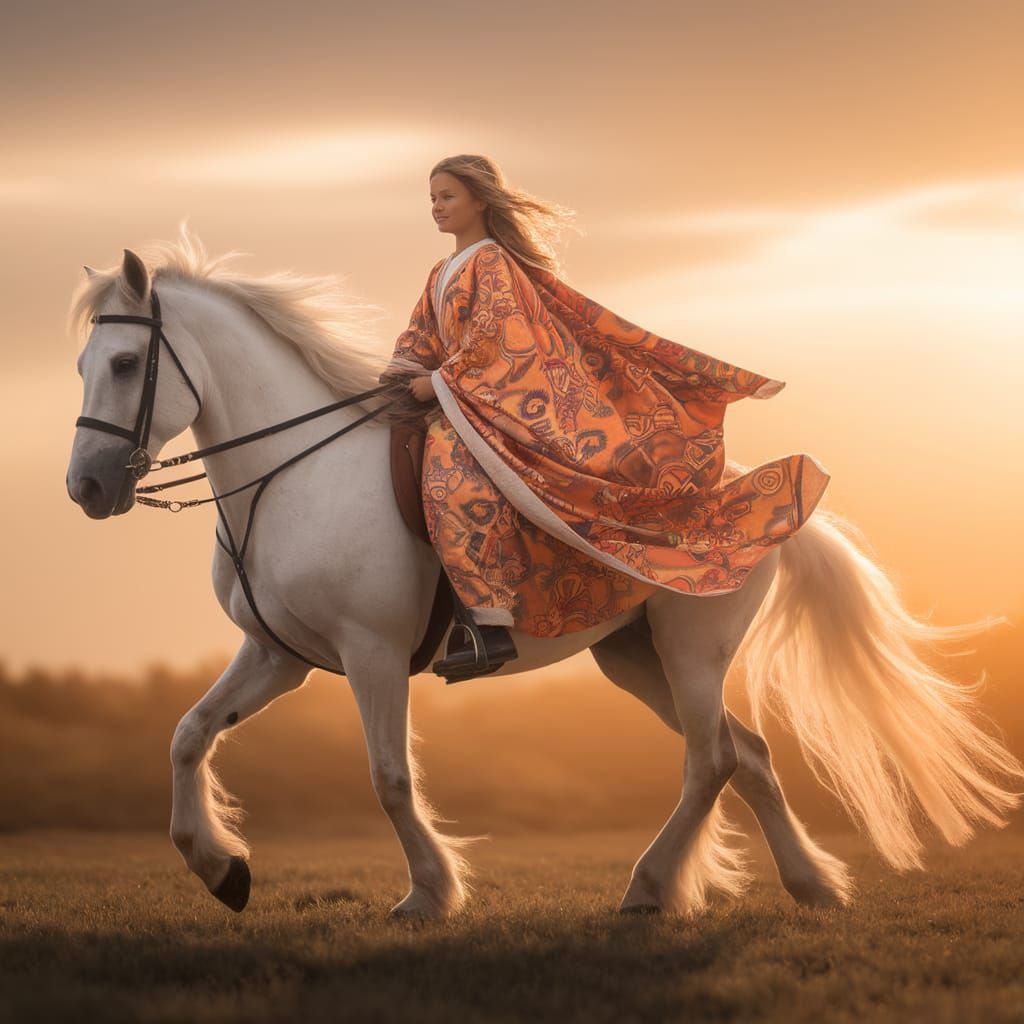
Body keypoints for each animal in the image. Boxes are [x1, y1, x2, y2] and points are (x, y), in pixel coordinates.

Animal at [65, 229, 1024, 919]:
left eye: (125, 363)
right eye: (80, 365)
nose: (86, 488)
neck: (291, 479)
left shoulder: (372, 654)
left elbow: (389, 776)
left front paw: (428, 894)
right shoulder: (279, 655)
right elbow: (188, 734)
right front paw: (221, 869)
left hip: (692, 649)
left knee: (712, 758)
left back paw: (649, 888)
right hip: (633, 656)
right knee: (746, 754)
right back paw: (809, 885)